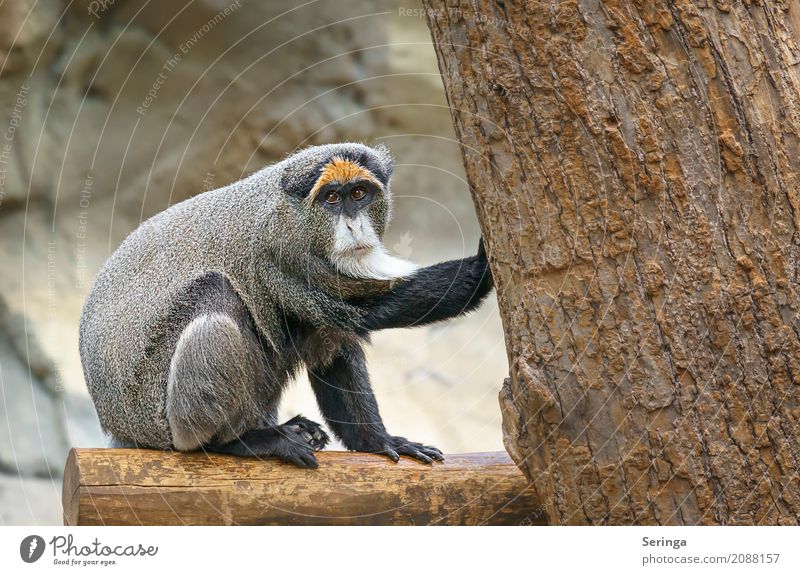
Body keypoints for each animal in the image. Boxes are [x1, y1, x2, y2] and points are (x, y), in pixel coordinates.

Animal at [81, 143, 494, 468]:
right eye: (332, 198)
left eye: (359, 193)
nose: (353, 227)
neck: (293, 214)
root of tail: (118, 424)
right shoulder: (280, 256)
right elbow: (360, 311)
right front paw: (481, 266)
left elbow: (334, 346)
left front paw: (379, 441)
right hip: (157, 414)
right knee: (216, 294)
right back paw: (236, 441)